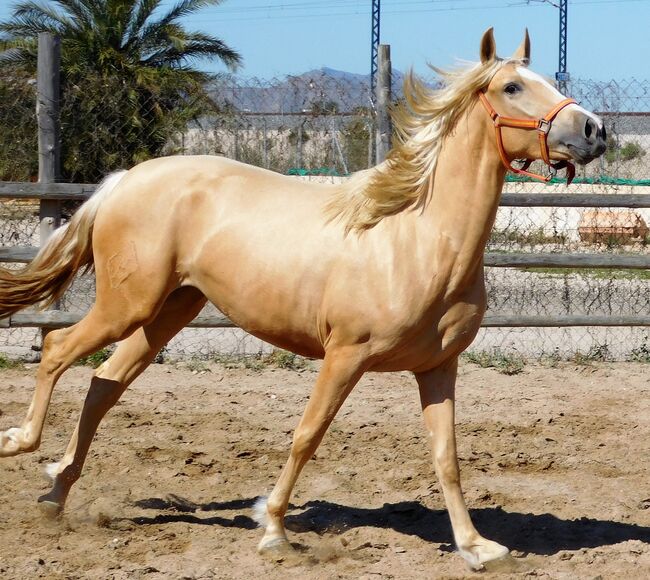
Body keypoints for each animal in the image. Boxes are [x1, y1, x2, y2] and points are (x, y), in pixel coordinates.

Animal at [0, 29, 604, 568]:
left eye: (549, 80)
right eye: (511, 86)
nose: (594, 130)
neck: (418, 237)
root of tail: (123, 180)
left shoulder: (438, 367)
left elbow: (447, 458)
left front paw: (478, 548)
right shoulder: (345, 355)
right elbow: (306, 436)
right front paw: (272, 530)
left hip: (168, 312)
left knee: (105, 384)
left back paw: (56, 494)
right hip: (128, 305)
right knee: (57, 348)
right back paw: (21, 445)